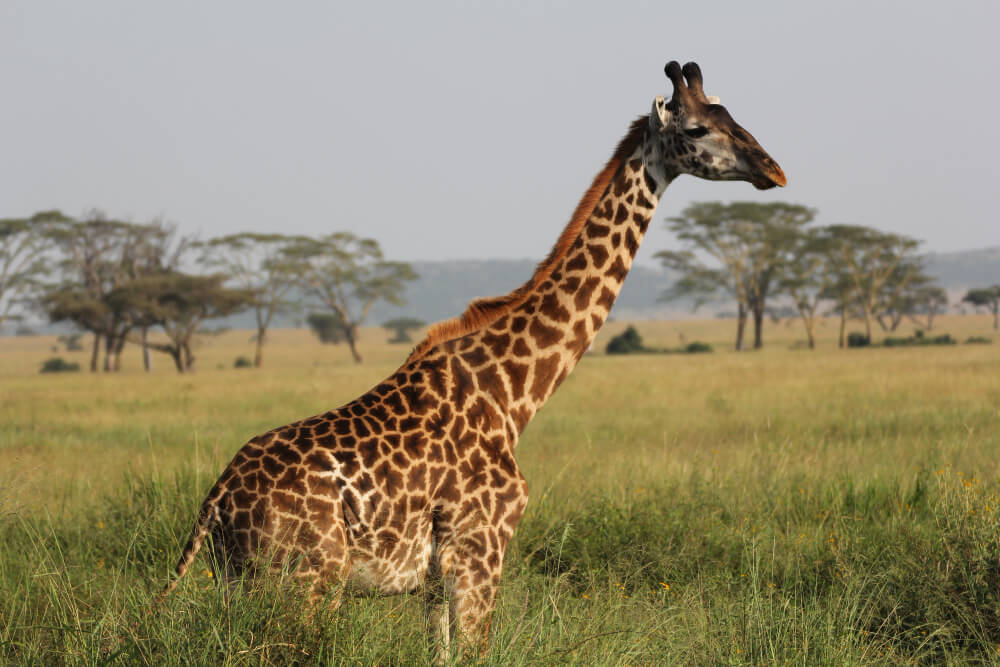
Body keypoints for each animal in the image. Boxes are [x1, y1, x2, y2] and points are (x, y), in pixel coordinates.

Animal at [156, 60, 784, 656]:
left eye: (732, 114)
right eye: (698, 127)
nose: (773, 170)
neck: (513, 393)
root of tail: (216, 502)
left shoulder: (438, 576)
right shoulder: (481, 550)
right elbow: (476, 651)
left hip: (243, 580)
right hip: (307, 580)